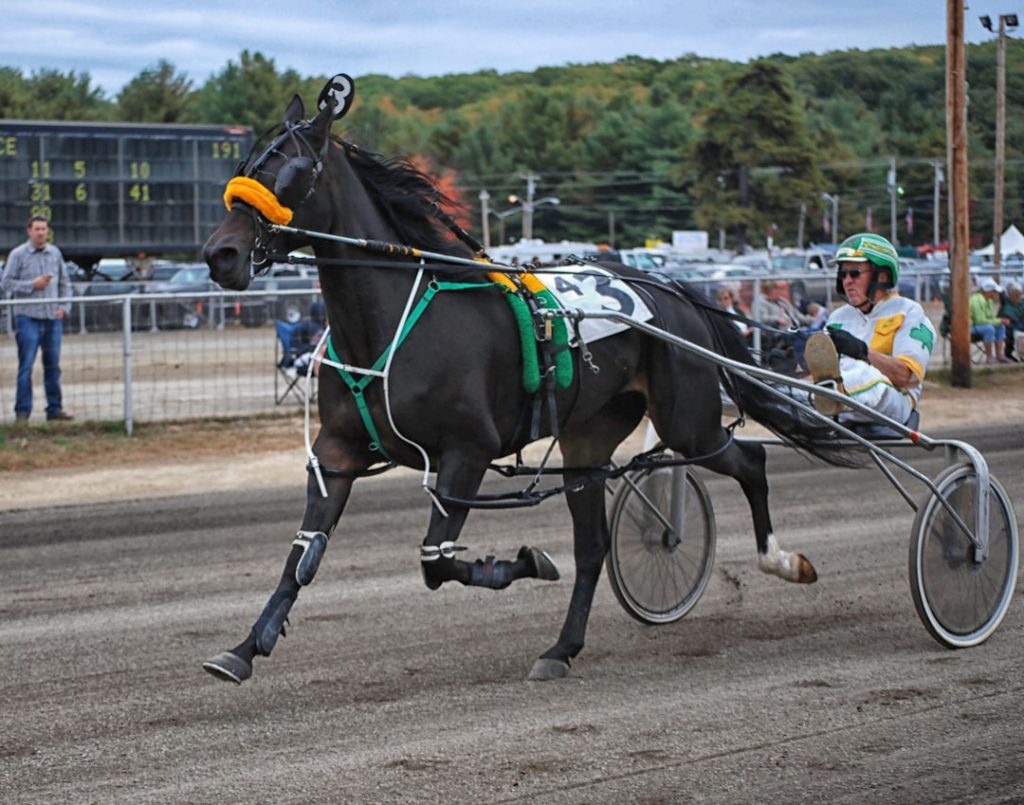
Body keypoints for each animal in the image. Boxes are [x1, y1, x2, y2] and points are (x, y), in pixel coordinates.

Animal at [200, 84, 849, 684]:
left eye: (290, 169)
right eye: (247, 163)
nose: (219, 254)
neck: (393, 321)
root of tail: (671, 289)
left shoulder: (466, 452)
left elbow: (437, 561)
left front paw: (528, 561)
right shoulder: (339, 450)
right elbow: (303, 555)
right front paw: (244, 648)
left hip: (688, 419)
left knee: (749, 463)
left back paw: (782, 561)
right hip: (589, 441)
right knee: (593, 548)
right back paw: (561, 649)